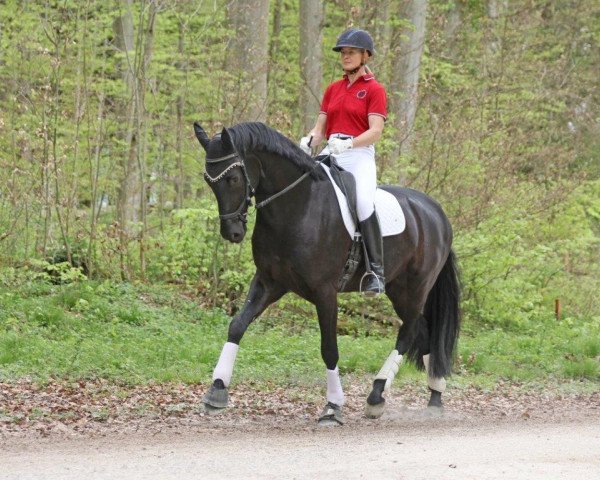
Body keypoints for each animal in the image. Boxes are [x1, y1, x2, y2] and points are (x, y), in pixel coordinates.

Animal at [195, 121, 462, 424]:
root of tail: (436, 212)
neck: (298, 205)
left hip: (414, 288)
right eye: (209, 181)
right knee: (423, 331)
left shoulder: (325, 292)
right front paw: (217, 390)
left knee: (409, 332)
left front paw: (333, 406)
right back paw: (435, 395)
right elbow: (237, 325)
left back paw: (377, 396)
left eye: (233, 179)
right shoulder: (269, 282)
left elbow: (329, 349)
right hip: (400, 288)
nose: (232, 232)